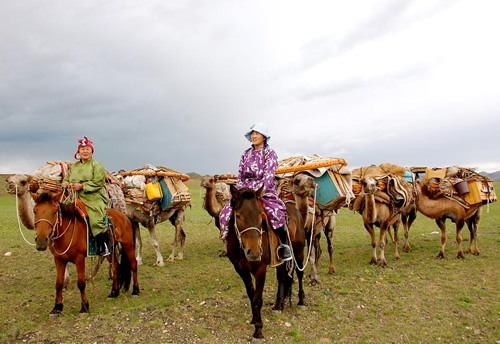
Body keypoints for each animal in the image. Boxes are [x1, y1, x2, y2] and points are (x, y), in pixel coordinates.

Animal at [226, 185, 304, 338]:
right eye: (238, 216)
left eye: (260, 215)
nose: (254, 252)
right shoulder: (240, 269)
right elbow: (251, 294)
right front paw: (254, 319)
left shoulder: (260, 270)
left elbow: (258, 298)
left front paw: (258, 330)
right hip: (280, 260)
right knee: (282, 278)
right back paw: (278, 305)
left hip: (299, 252)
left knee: (299, 273)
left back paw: (301, 301)